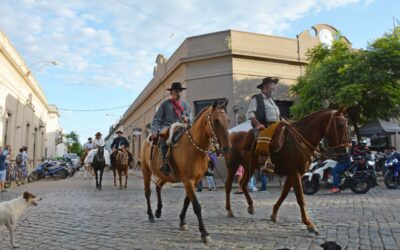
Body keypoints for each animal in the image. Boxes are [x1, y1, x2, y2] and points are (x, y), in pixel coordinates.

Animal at [141, 100, 230, 244]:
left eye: (227, 120)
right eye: (216, 121)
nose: (227, 148)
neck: (194, 149)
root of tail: (147, 139)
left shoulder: (195, 181)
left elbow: (187, 201)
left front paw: (182, 221)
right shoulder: (188, 181)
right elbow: (196, 206)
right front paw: (204, 233)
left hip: (166, 175)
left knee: (158, 186)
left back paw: (158, 210)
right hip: (146, 172)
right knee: (147, 192)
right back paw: (150, 215)